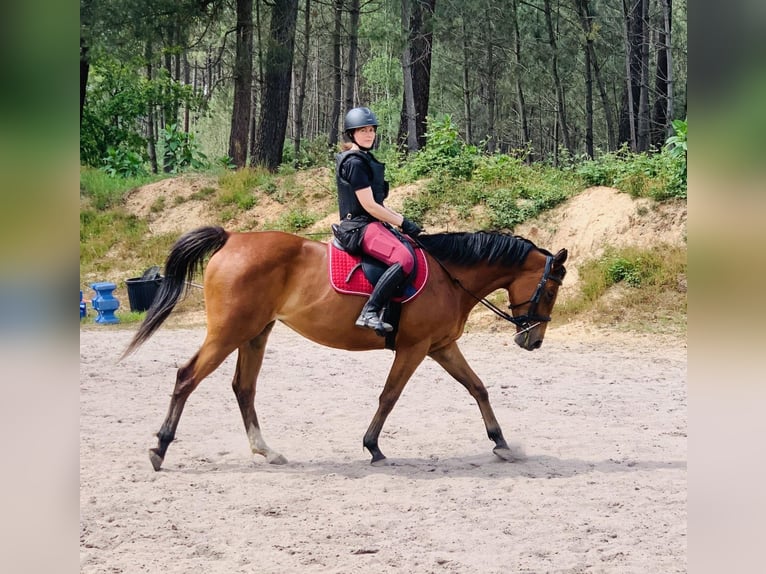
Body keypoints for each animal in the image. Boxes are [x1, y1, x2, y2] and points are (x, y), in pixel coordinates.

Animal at [123, 226, 568, 472]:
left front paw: (502, 444)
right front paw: (373, 446)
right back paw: (160, 448)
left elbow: (478, 388)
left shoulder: (442, 346)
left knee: (243, 388)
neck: (450, 276)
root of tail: (232, 240)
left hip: (255, 333)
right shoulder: (414, 347)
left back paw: (266, 451)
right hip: (229, 332)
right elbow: (389, 396)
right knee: (187, 377)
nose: (533, 340)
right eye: (549, 290)